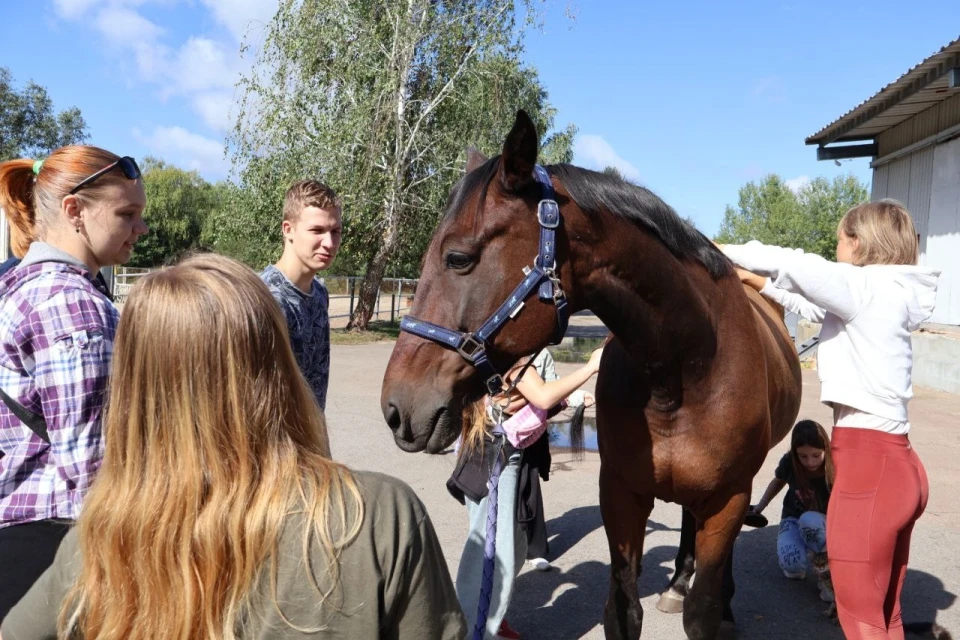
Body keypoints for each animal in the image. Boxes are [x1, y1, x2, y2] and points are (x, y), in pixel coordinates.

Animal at [382, 112, 804, 636]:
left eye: (458, 258)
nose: (397, 407)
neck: (684, 373)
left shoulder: (727, 499)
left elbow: (702, 608)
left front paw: (713, 602)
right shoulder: (621, 495)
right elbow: (623, 608)